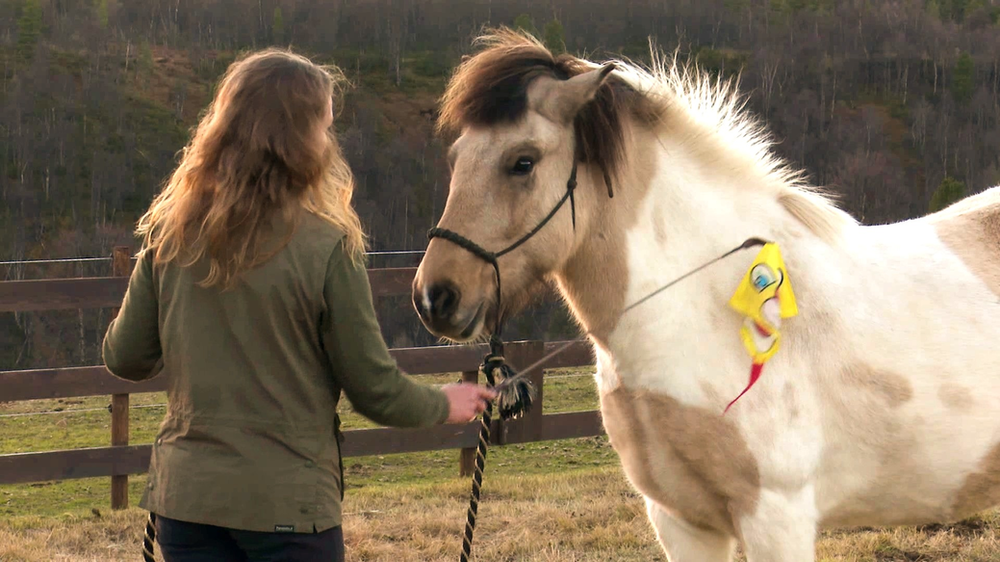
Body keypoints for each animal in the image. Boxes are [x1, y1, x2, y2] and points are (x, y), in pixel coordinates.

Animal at [411, 27, 1000, 561]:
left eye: (522, 161)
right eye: (457, 156)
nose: (435, 296)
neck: (706, 308)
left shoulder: (776, 519)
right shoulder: (681, 521)